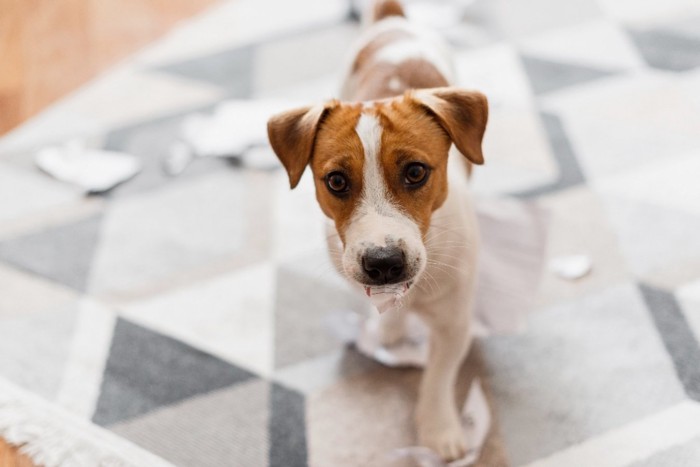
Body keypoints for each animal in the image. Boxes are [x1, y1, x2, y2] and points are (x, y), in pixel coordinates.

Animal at [266, 0, 490, 460]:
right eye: (335, 181)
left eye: (416, 172)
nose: (384, 263)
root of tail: (394, 21)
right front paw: (390, 329)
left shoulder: (454, 323)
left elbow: (438, 377)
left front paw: (439, 429)